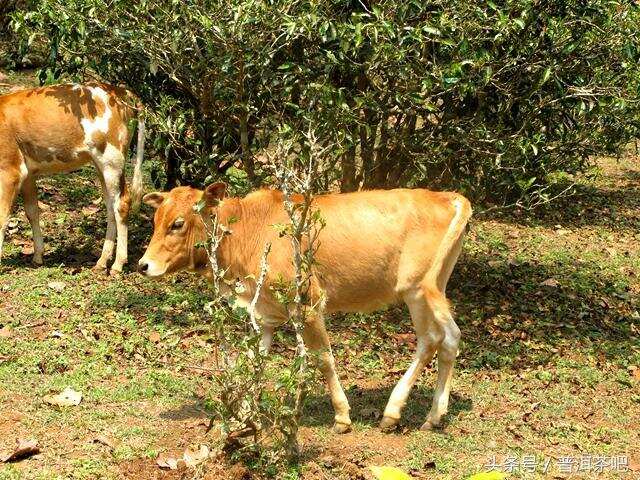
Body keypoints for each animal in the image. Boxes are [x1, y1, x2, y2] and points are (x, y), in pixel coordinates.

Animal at [0, 80, 144, 272]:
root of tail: (117, 90)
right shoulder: (28, 174)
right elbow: (32, 212)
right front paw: (38, 256)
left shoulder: (10, 170)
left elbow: (3, 216)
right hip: (101, 164)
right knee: (110, 207)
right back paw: (102, 261)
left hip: (112, 159)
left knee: (121, 203)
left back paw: (118, 264)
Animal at [139, 183, 470, 432]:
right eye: (155, 221)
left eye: (177, 224)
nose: (143, 265)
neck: (246, 230)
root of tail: (447, 196)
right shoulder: (265, 312)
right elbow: (255, 360)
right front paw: (244, 416)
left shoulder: (309, 302)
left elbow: (323, 358)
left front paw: (342, 416)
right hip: (432, 288)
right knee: (448, 338)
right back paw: (434, 415)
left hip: (417, 289)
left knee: (433, 339)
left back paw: (393, 411)